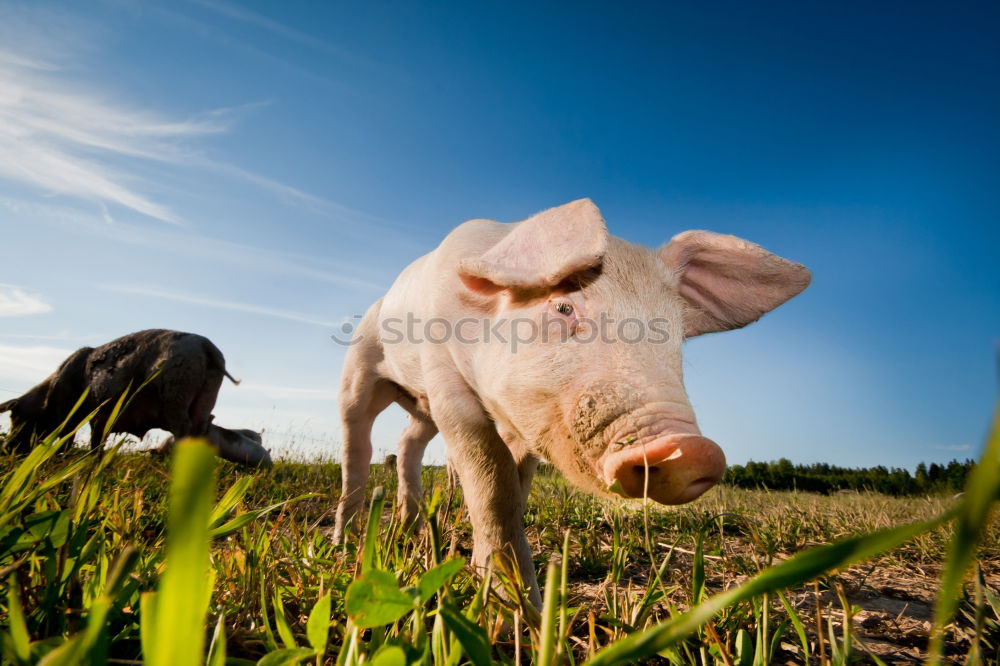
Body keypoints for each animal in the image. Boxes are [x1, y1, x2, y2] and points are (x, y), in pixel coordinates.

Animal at [332, 197, 808, 600]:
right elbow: (490, 475)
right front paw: (515, 609)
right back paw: (344, 543)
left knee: (407, 443)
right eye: (563, 308)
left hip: (420, 408)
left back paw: (410, 532)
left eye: (675, 334)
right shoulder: (443, 376)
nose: (691, 450)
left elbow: (517, 484)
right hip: (361, 369)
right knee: (357, 444)